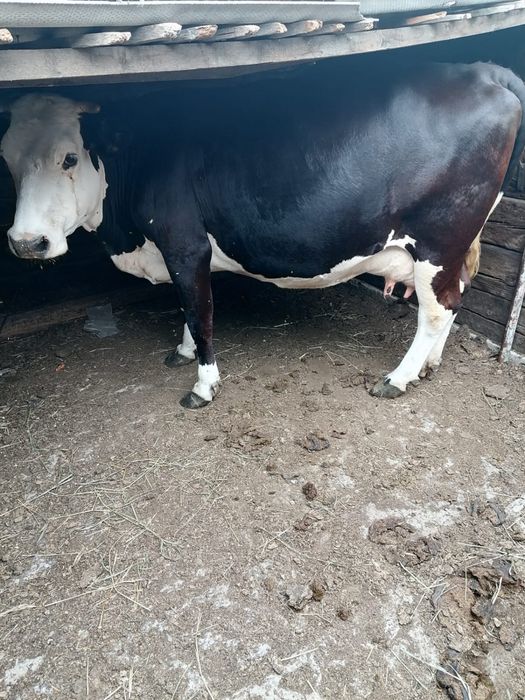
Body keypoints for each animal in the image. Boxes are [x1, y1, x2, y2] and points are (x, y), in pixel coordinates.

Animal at [1, 61, 524, 408]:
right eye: (6, 157)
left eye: (69, 157)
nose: (26, 242)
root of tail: (484, 71)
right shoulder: (177, 251)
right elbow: (187, 307)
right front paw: (182, 351)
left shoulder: (184, 243)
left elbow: (200, 311)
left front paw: (203, 385)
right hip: (455, 247)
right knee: (454, 299)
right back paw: (429, 366)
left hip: (439, 240)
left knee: (437, 309)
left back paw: (398, 378)